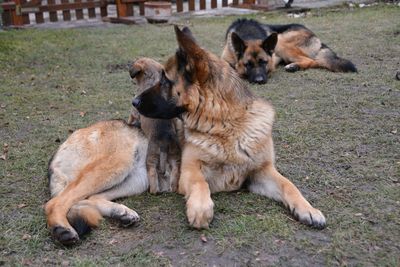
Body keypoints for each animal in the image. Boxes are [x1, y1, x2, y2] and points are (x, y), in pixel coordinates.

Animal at [128, 58, 181, 195]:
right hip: (175, 156)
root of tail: (164, 144)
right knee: (175, 176)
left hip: (151, 159)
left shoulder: (134, 112)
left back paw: (153, 191)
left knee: (153, 178)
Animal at [222, 18, 356, 84]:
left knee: (312, 60)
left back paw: (293, 66)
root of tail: (314, 36)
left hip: (281, 42)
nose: (259, 81)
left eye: (264, 62)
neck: (249, 34)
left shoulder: (273, 60)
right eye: (248, 65)